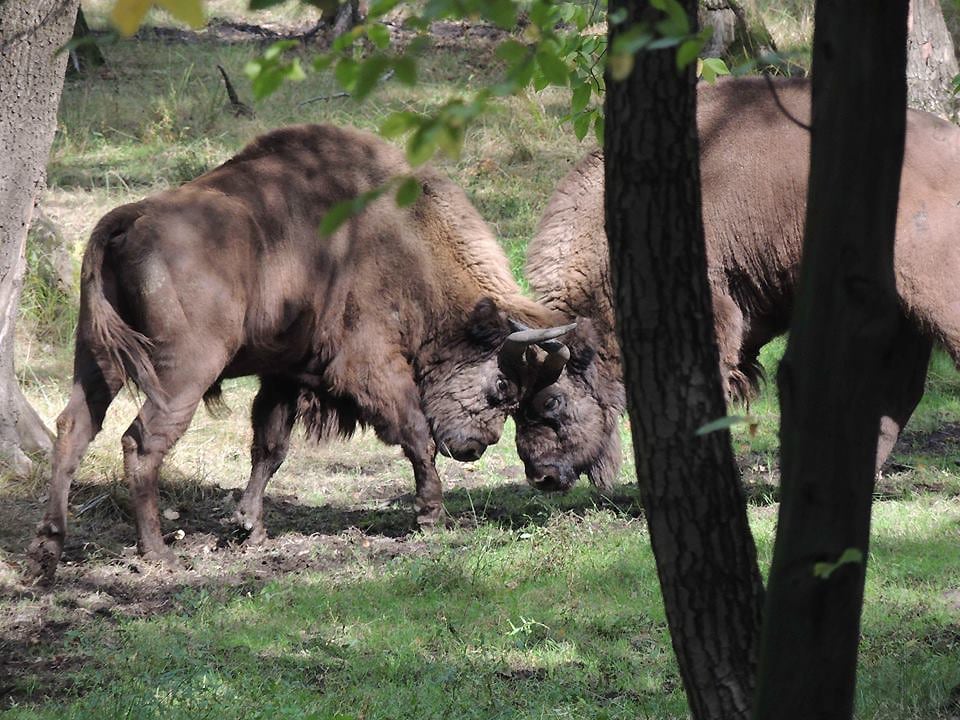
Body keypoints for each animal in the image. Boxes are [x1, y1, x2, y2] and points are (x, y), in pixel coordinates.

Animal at [26, 125, 572, 580]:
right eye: (502, 386)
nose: (476, 447)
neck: (405, 238)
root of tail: (129, 217)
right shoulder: (369, 366)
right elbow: (416, 434)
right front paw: (431, 515)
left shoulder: (285, 375)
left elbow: (270, 447)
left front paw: (249, 526)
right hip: (182, 372)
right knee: (140, 443)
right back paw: (159, 554)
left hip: (97, 357)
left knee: (74, 428)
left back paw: (48, 550)